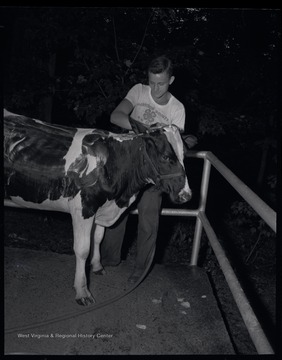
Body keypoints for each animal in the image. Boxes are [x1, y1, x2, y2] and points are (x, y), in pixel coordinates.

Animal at [3, 108, 192, 306]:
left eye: (185, 156)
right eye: (166, 157)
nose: (186, 195)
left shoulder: (102, 208)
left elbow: (98, 238)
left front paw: (97, 266)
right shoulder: (82, 209)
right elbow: (82, 249)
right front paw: (82, 291)